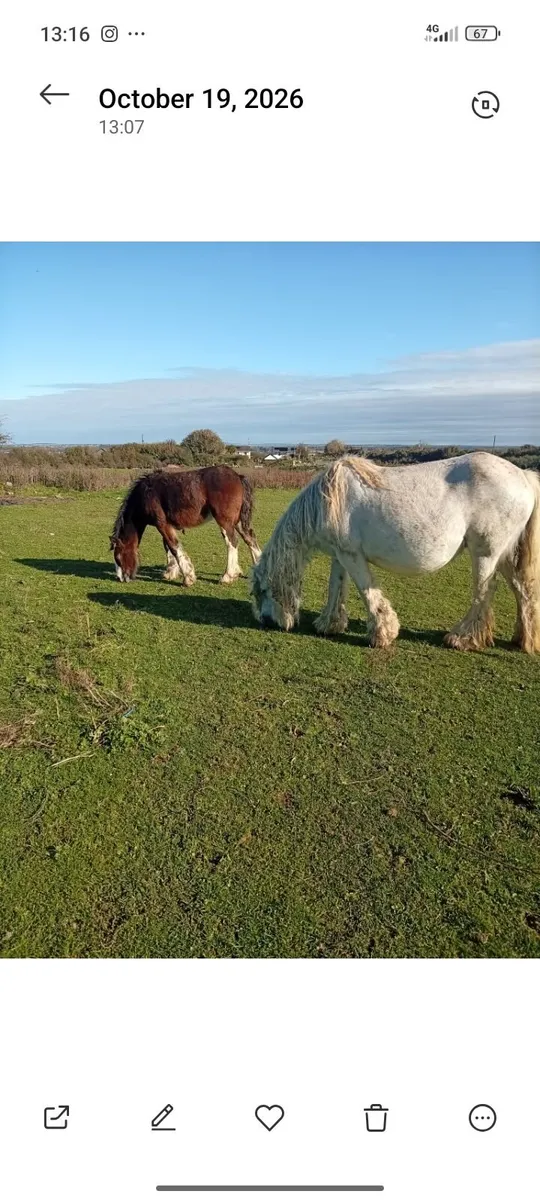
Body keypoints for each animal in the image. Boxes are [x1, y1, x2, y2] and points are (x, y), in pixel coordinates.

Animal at [110, 465, 261, 585]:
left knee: (232, 542)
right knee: (250, 538)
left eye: (119, 557)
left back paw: (228, 576)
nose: (122, 578)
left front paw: (188, 578)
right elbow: (168, 546)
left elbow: (174, 546)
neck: (146, 494)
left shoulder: (162, 524)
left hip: (225, 521)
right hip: (238, 521)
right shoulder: (167, 524)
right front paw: (171, 572)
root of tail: (237, 476)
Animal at [250, 452, 540, 653]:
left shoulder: (352, 556)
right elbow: (336, 587)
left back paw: (463, 638)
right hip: (505, 555)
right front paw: (329, 624)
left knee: (484, 592)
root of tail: (524, 476)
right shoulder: (340, 555)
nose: (266, 621)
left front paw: (382, 634)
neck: (328, 500)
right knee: (523, 591)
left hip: (486, 554)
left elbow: (367, 591)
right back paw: (523, 639)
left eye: (262, 591)